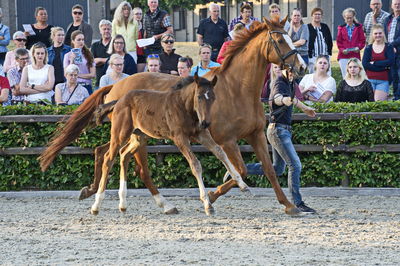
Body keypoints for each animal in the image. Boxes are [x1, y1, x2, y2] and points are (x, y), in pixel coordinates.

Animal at [90, 74, 250, 215]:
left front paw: (242, 185)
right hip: (120, 134)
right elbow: (195, 164)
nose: (206, 123)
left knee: (124, 154)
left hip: (139, 137)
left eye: (213, 97)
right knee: (109, 158)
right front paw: (207, 204)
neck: (184, 107)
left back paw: (123, 204)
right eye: (199, 97)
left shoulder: (201, 134)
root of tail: (118, 101)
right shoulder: (179, 138)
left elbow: (220, 152)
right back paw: (96, 205)